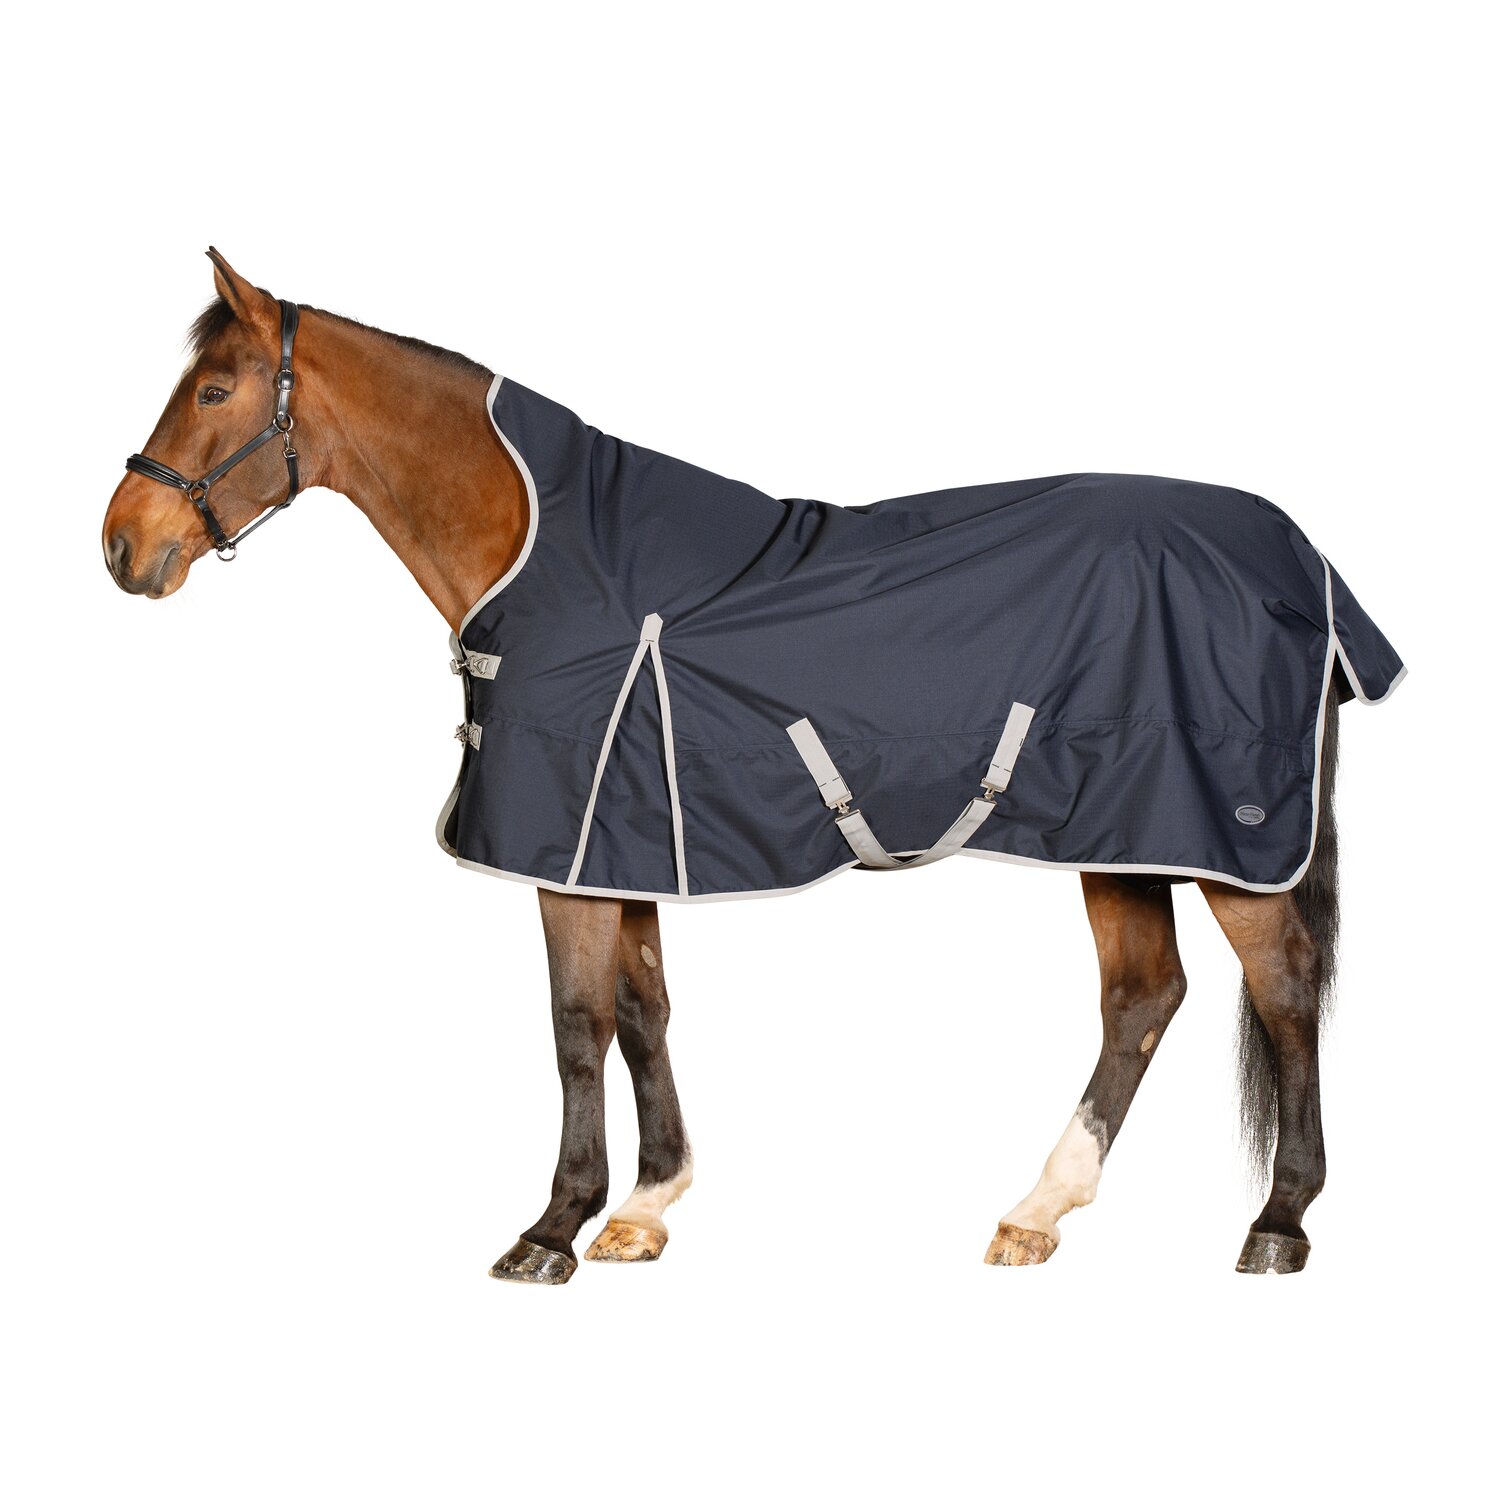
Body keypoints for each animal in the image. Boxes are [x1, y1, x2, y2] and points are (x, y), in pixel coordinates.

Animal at [102, 250, 1403, 1282]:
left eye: (213, 388)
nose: (123, 545)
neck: (546, 549)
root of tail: (1303, 560)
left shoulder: (567, 850)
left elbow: (575, 1024)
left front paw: (552, 1229)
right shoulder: (626, 842)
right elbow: (643, 1009)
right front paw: (646, 1207)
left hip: (1226, 837)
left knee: (1284, 989)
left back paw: (1278, 1224)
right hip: (1124, 828)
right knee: (1142, 998)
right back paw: (1039, 1211)